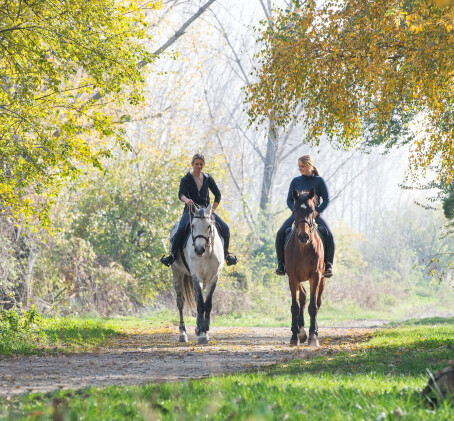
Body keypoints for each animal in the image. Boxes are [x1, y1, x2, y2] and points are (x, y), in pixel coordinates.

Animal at [169, 203, 224, 344]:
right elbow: (200, 303)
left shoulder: (213, 278)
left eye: (209, 226)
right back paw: (182, 333)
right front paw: (202, 334)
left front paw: (204, 329)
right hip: (177, 273)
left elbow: (207, 304)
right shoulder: (196, 276)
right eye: (192, 225)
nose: (199, 249)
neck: (207, 253)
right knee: (180, 302)